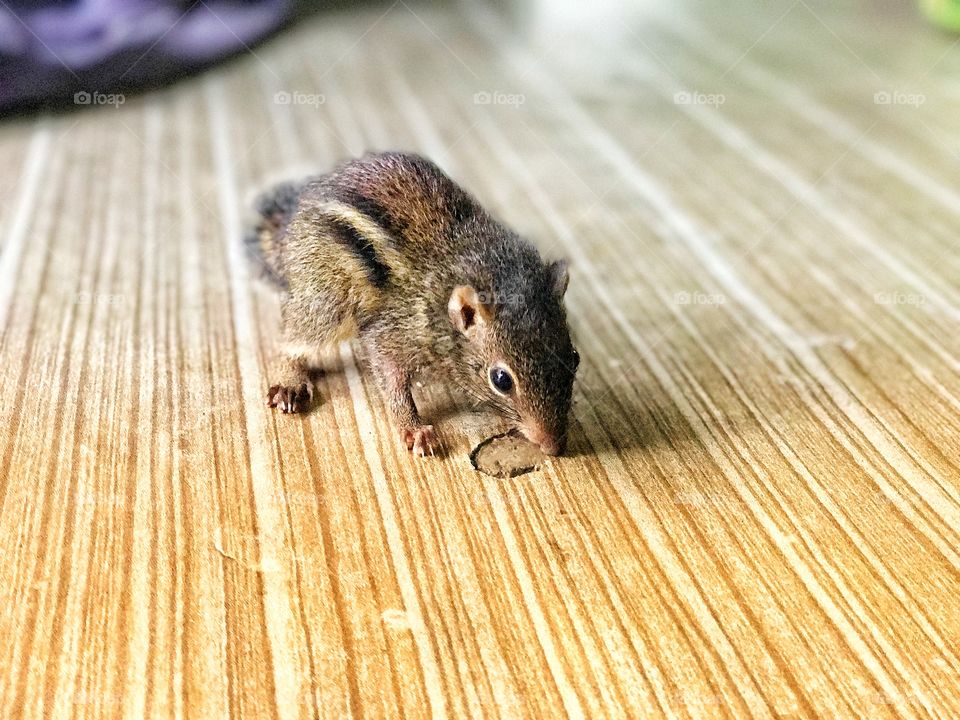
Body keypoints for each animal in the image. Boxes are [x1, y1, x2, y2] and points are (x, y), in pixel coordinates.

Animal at [245, 151, 579, 457]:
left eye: (574, 358)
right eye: (501, 380)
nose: (553, 447)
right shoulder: (393, 334)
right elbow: (393, 383)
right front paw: (413, 428)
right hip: (325, 298)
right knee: (296, 338)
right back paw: (290, 381)